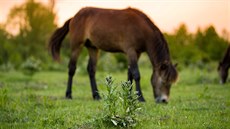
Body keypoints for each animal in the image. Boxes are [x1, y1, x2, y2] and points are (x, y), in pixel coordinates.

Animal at [48, 7, 178, 103]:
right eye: (164, 81)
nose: (164, 100)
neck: (141, 28)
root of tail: (74, 17)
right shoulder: (131, 51)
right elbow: (136, 74)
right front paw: (140, 97)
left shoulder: (137, 53)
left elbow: (130, 74)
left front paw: (129, 96)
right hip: (76, 46)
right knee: (72, 68)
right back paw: (68, 95)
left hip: (93, 48)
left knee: (91, 70)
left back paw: (96, 96)